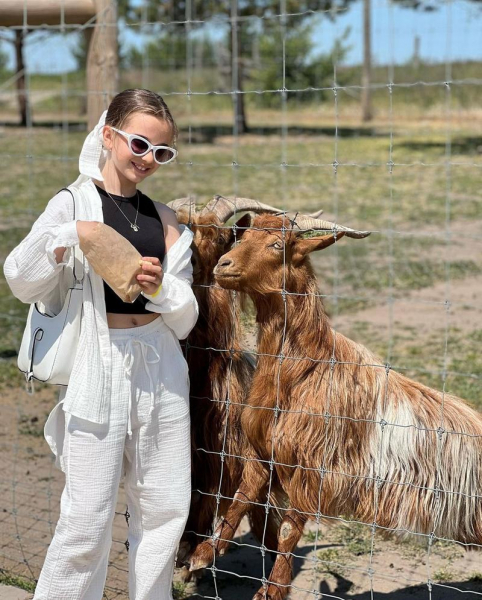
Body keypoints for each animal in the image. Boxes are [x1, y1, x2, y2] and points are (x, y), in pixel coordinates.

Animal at [189, 213, 482, 596]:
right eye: (243, 236)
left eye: (277, 245)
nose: (223, 265)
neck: (306, 369)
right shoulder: (262, 449)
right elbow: (241, 497)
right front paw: (204, 553)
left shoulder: (313, 467)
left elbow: (289, 529)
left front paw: (271, 590)